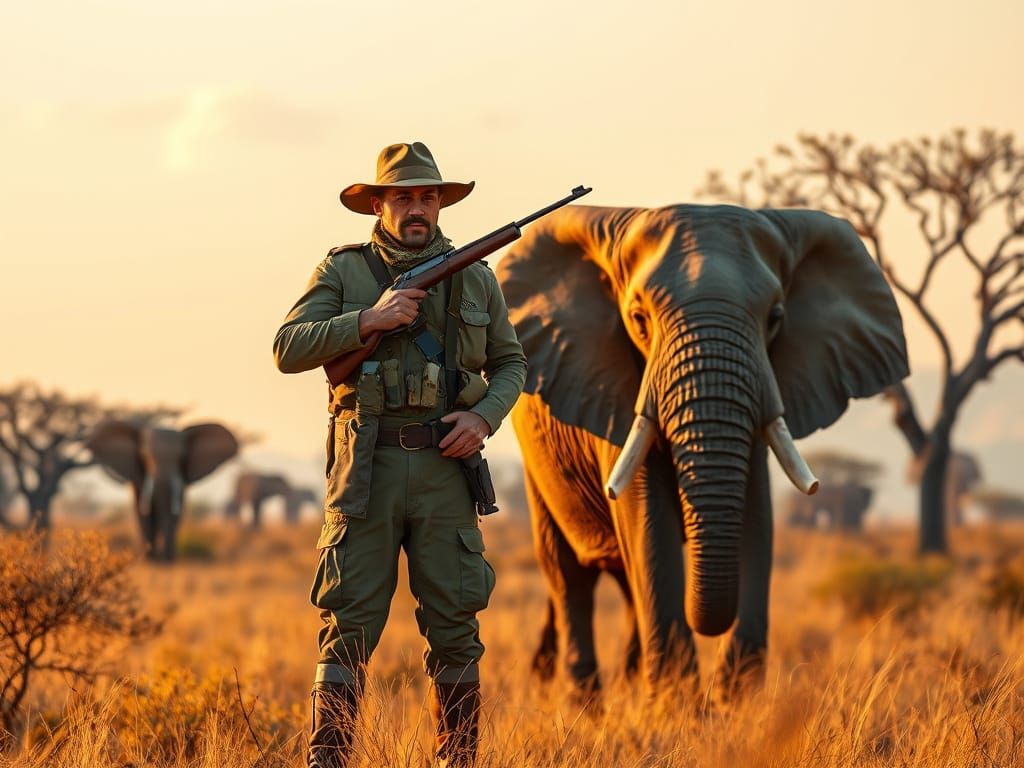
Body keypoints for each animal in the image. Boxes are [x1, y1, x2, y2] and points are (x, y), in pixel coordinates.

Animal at [88, 422, 238, 561]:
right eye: (145, 456)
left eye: (181, 457)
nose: (162, 558)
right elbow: (142, 513)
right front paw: (150, 561)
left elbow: (174, 512)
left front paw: (166, 562)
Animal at [496, 203, 908, 696]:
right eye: (639, 319)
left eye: (775, 317)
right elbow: (648, 523)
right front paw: (675, 704)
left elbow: (756, 520)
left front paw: (733, 702)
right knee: (569, 575)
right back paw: (586, 703)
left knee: (626, 584)